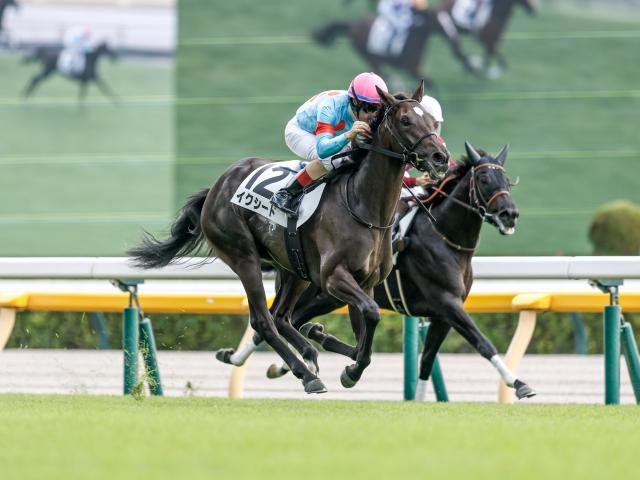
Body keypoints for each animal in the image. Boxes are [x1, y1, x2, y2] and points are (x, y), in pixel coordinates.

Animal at [128, 82, 451, 394]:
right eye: (406, 120)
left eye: (431, 120)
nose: (441, 157)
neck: (364, 206)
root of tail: (217, 187)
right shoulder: (333, 277)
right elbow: (371, 316)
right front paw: (349, 369)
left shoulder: (366, 282)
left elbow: (364, 332)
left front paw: (342, 358)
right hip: (244, 257)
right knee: (263, 320)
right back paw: (306, 374)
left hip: (294, 268)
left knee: (281, 316)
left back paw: (309, 352)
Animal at [263, 142, 536, 400]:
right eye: (483, 179)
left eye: (507, 180)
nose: (509, 214)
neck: (446, 239)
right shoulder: (448, 302)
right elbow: (483, 343)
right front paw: (518, 383)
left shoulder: (443, 314)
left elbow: (426, 361)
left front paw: (419, 398)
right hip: (320, 292)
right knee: (284, 319)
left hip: (327, 297)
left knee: (294, 320)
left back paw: (301, 353)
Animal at [313, 0, 536, 89]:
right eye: (439, 23)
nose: (534, 9)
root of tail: (353, 25)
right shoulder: (413, 68)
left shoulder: (490, 40)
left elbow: (496, 59)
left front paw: (482, 71)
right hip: (367, 54)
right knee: (379, 69)